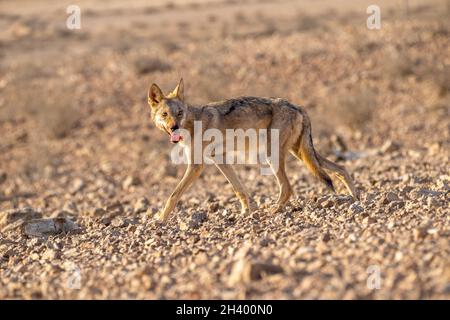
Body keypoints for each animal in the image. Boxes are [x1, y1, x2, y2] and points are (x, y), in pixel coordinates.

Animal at [149, 78, 360, 222]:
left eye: (179, 113)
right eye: (165, 114)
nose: (174, 127)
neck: (192, 123)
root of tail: (298, 106)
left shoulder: (196, 166)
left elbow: (173, 194)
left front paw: (160, 219)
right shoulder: (220, 160)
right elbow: (239, 189)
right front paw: (246, 212)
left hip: (273, 155)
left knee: (287, 187)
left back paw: (274, 211)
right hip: (300, 153)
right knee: (341, 169)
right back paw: (355, 198)